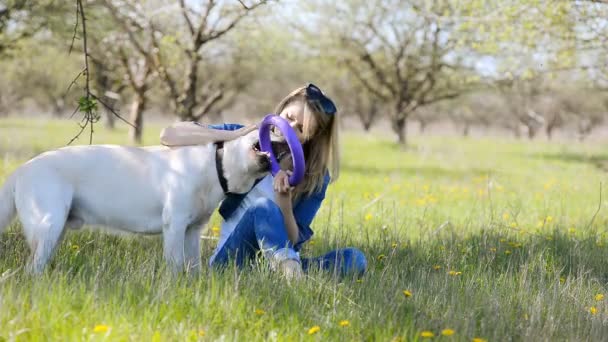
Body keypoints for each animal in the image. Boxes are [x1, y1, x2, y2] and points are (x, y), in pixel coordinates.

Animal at [0, 130, 274, 274]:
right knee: (32, 269)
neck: (216, 166)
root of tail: (21, 170)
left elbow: (193, 264)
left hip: (55, 231)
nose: (274, 130)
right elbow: (175, 264)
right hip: (49, 224)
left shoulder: (193, 230)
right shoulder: (174, 225)